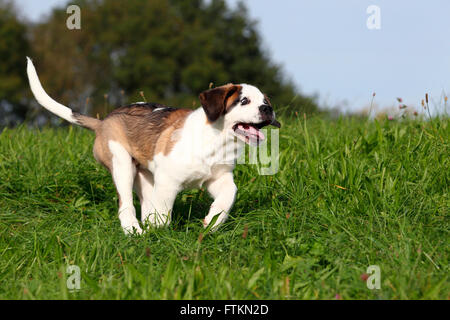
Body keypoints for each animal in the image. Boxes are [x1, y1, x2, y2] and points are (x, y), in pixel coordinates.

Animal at [26, 57, 280, 234]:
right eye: (244, 101)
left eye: (265, 101)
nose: (268, 109)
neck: (217, 139)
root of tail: (104, 121)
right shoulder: (167, 180)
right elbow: (163, 211)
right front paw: (161, 231)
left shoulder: (219, 178)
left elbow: (229, 194)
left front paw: (213, 222)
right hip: (122, 164)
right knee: (126, 204)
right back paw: (134, 230)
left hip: (145, 176)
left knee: (145, 203)